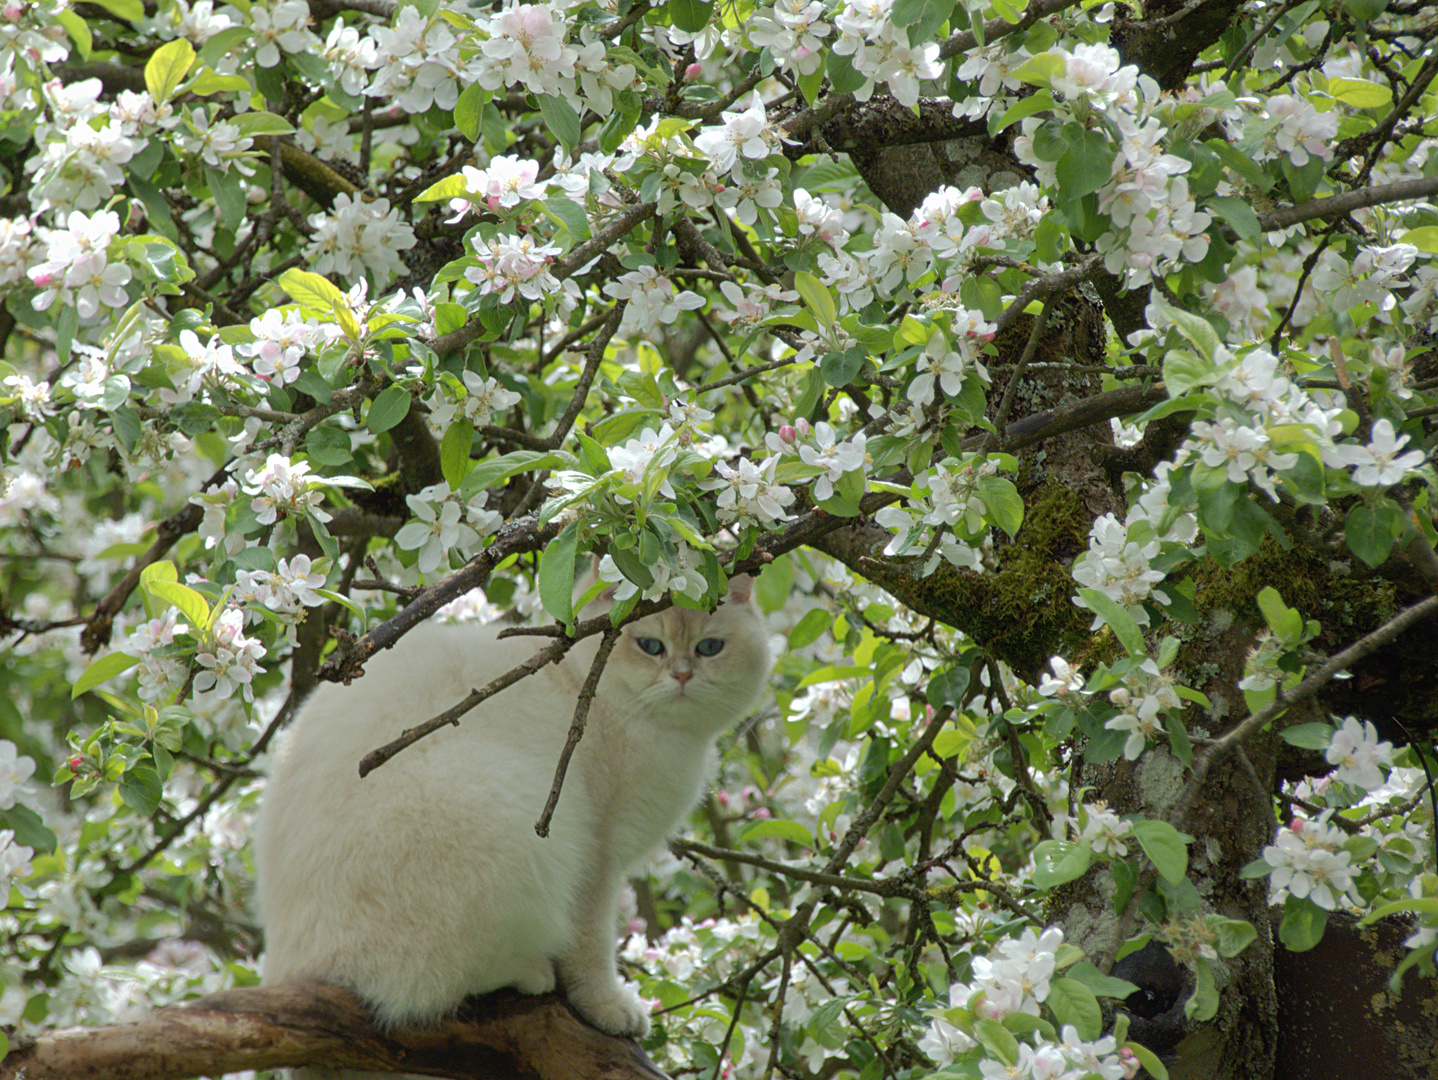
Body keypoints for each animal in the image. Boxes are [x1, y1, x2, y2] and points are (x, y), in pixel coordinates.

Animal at [255, 578, 776, 1058]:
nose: (683, 675)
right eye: (650, 646)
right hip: (508, 825)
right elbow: (592, 948)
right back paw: (531, 972)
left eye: (710, 648)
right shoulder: (596, 860)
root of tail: (291, 966)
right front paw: (610, 1009)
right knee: (428, 986)